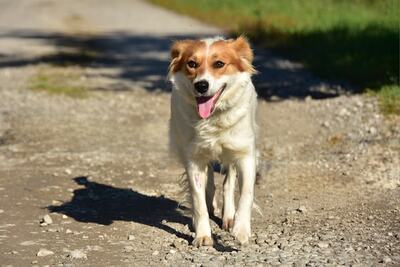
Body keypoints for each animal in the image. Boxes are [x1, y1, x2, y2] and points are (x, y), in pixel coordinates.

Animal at [168, 35, 256, 247]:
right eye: (192, 64)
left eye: (219, 64)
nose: (201, 85)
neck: (213, 118)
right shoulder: (193, 158)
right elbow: (198, 199)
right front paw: (202, 235)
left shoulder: (245, 154)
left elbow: (246, 193)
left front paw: (241, 230)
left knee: (228, 181)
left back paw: (229, 216)